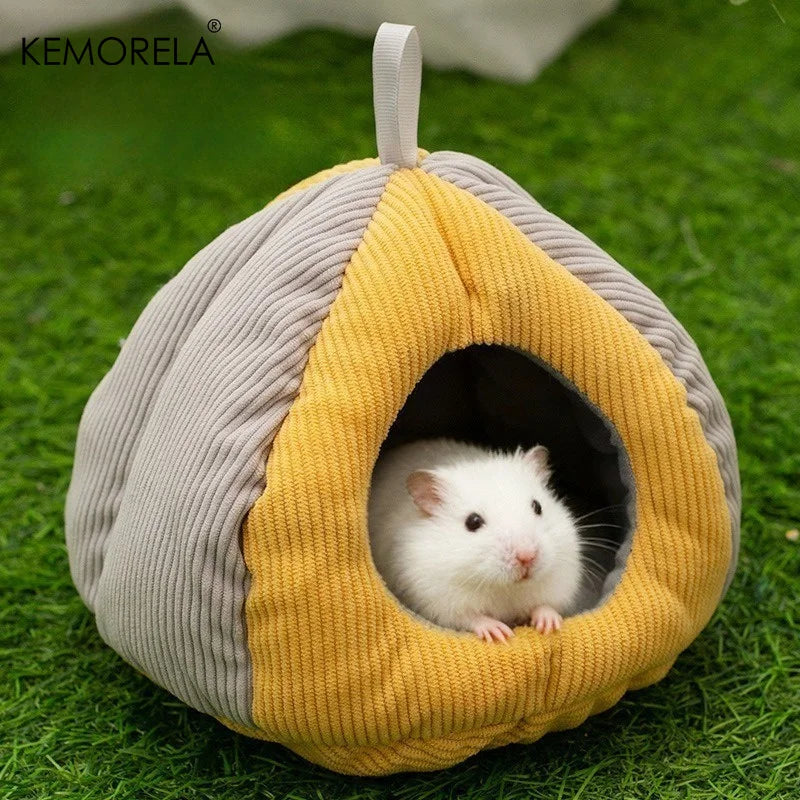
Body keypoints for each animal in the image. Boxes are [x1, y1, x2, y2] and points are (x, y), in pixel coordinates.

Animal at [368, 438, 583, 643]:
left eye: (538, 507)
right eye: (473, 522)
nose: (527, 557)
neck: (504, 588)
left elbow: (545, 605)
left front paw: (549, 625)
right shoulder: (439, 599)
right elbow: (471, 618)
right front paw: (499, 634)